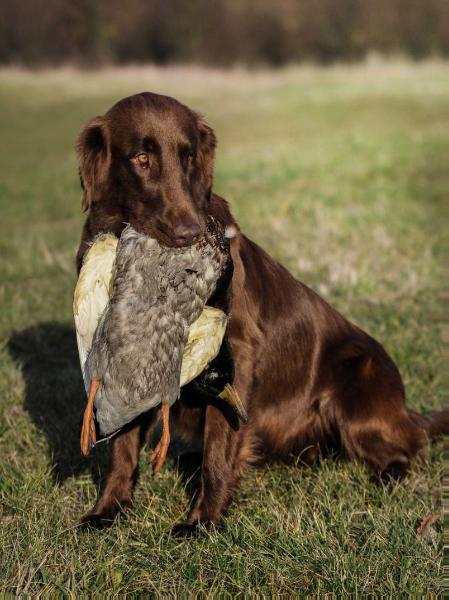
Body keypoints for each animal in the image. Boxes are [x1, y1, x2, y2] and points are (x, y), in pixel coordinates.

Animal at [75, 91, 446, 532]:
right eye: (141, 158)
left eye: (188, 156)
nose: (189, 234)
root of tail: (404, 407)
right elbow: (123, 440)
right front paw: (108, 509)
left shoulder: (236, 353)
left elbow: (220, 445)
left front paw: (203, 521)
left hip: (354, 381)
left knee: (407, 449)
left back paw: (385, 475)